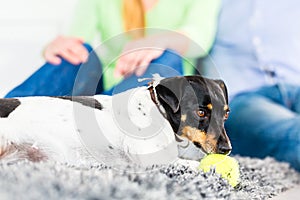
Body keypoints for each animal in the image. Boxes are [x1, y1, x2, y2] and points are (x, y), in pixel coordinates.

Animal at [0, 75, 232, 166]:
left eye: (226, 114)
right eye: (201, 113)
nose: (227, 149)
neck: (158, 111)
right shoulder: (154, 160)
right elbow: (196, 164)